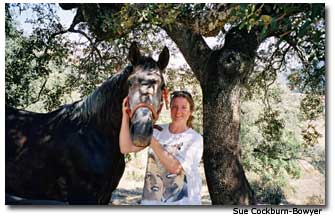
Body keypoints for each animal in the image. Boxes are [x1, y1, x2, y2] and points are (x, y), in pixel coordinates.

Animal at [3, 41, 169, 204]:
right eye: (129, 83)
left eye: (162, 86)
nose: (141, 132)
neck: (93, 135)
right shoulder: (82, 196)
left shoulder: (105, 196)